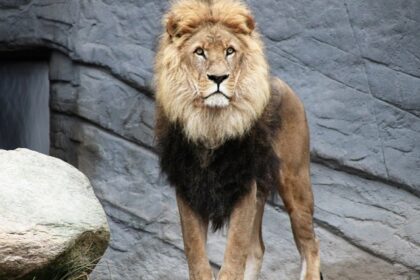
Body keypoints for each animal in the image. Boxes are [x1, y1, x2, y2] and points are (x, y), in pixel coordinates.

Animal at [154, 0, 322, 280]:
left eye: (229, 51)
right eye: (199, 52)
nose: (218, 78)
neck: (211, 123)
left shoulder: (243, 185)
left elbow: (234, 256)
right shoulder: (188, 188)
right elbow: (197, 256)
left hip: (295, 181)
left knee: (310, 245)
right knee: (258, 249)